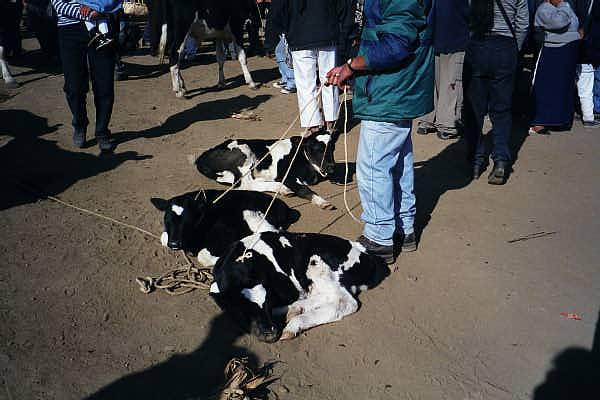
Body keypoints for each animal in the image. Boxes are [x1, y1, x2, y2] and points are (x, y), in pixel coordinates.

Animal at [150, 190, 300, 268]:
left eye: (188, 221)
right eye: (167, 220)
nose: (174, 244)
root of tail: (284, 207)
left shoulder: (226, 230)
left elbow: (203, 256)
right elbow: (163, 237)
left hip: (252, 215)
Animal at [196, 129, 340, 211]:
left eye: (332, 148)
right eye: (316, 149)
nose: (331, 167)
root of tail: (202, 156)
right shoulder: (286, 175)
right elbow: (303, 189)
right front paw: (322, 202)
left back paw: (283, 189)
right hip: (244, 154)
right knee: (247, 184)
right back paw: (283, 188)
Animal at [210, 233, 390, 342]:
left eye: (266, 303)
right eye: (242, 309)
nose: (271, 333)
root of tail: (367, 256)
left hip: (317, 263)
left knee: (345, 302)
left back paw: (294, 324)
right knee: (326, 296)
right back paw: (293, 309)